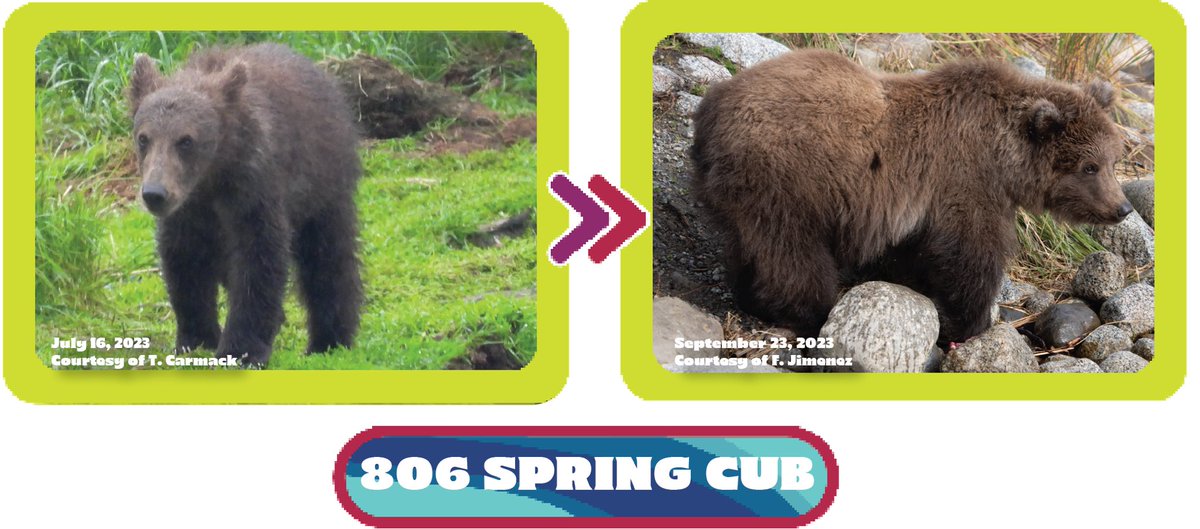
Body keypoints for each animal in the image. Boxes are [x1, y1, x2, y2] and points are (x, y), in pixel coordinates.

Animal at [128, 43, 363, 367]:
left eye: (186, 140)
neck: (211, 178)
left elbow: (259, 261)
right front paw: (196, 336)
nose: (155, 193)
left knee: (328, 258)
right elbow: (184, 261)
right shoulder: (187, 213)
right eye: (144, 138)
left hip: (323, 184)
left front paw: (241, 348)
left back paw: (329, 338)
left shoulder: (253, 190)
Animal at [690, 49, 1132, 344]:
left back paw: (748, 294)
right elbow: (970, 252)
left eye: (1114, 159)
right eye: (1089, 167)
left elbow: (917, 252)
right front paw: (971, 322)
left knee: (751, 243)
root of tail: (711, 107)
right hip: (788, 177)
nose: (1122, 208)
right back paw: (809, 308)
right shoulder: (965, 178)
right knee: (791, 251)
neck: (1004, 154)